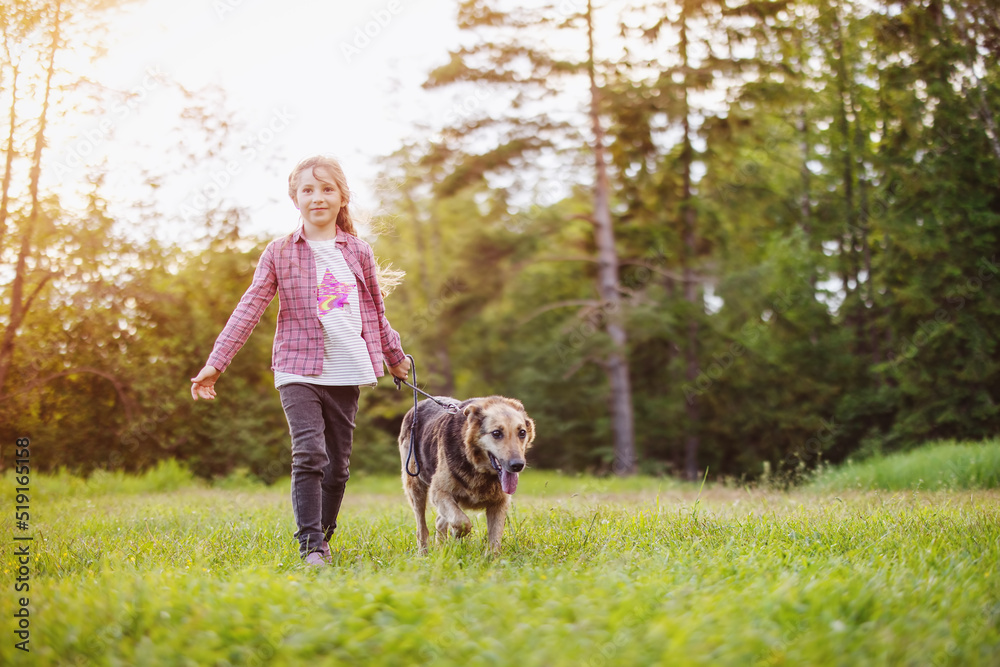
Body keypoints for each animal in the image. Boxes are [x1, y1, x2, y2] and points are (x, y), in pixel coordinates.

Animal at [398, 394, 536, 556]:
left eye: (522, 433)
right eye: (496, 433)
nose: (517, 465)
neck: (478, 468)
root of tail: (420, 403)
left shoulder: (499, 503)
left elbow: (495, 539)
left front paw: (492, 559)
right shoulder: (439, 492)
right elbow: (462, 522)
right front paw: (456, 535)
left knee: (439, 521)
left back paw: (442, 551)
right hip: (416, 488)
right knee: (422, 528)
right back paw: (424, 554)